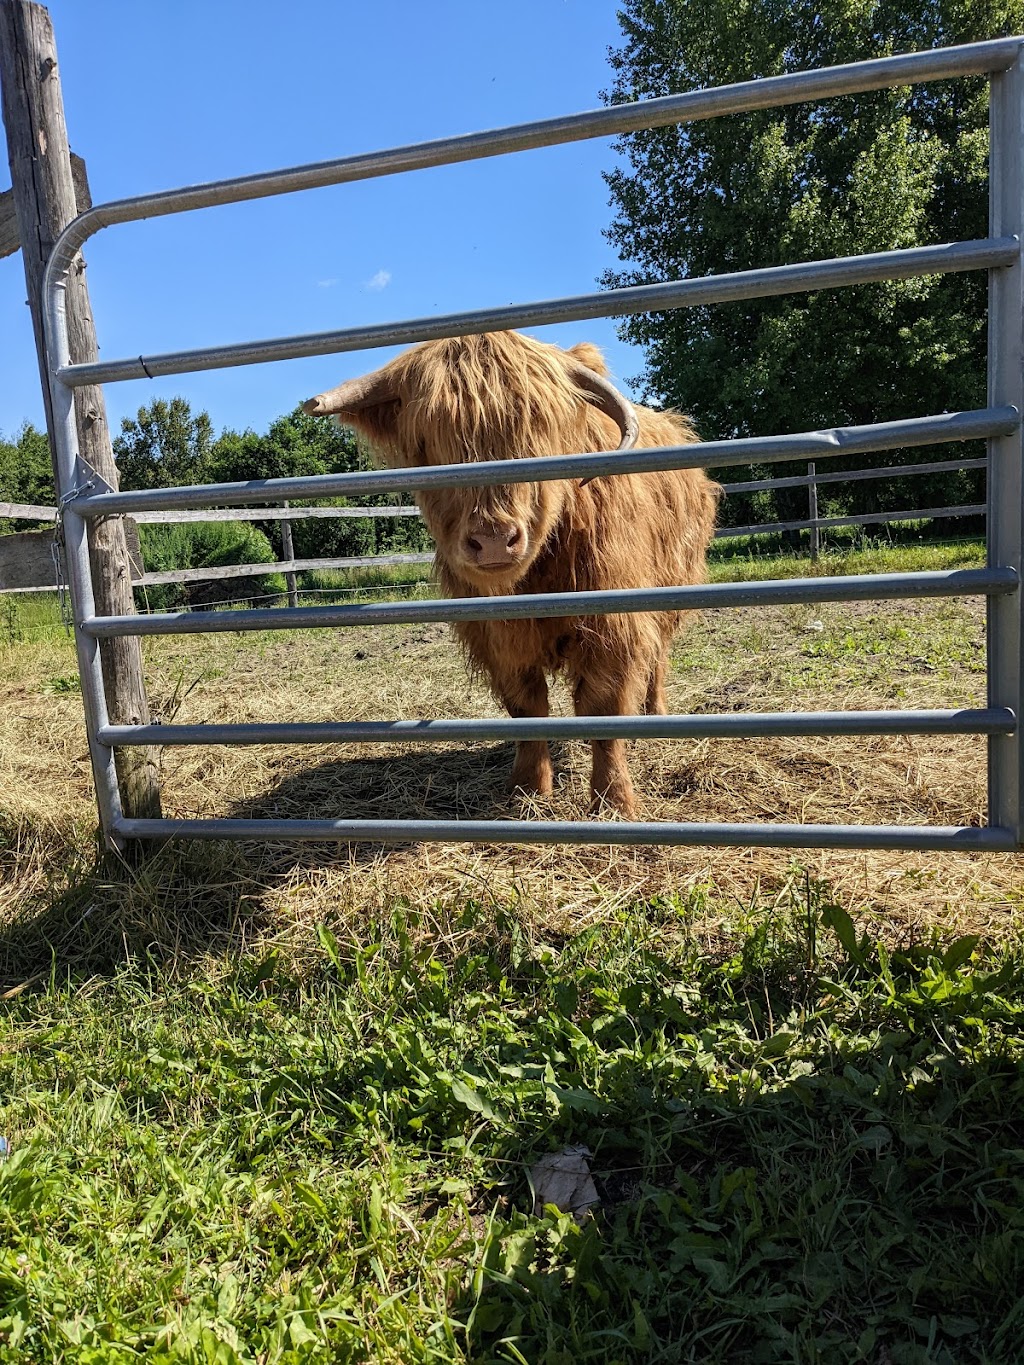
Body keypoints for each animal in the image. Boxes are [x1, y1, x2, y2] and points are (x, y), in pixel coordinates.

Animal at [303, 330, 720, 813]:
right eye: (430, 438)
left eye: (537, 429)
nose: (493, 539)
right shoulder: (497, 635)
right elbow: (527, 706)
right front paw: (527, 786)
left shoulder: (612, 625)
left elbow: (603, 707)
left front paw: (613, 800)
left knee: (657, 658)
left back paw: (655, 716)